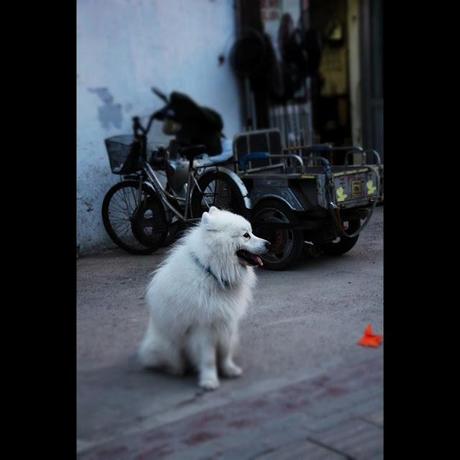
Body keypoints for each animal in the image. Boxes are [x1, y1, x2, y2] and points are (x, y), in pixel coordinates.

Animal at [138, 207, 272, 390]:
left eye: (251, 232)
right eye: (246, 235)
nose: (269, 244)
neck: (212, 272)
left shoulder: (226, 323)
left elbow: (224, 353)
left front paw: (229, 370)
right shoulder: (204, 327)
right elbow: (209, 359)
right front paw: (209, 381)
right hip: (167, 346)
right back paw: (177, 370)